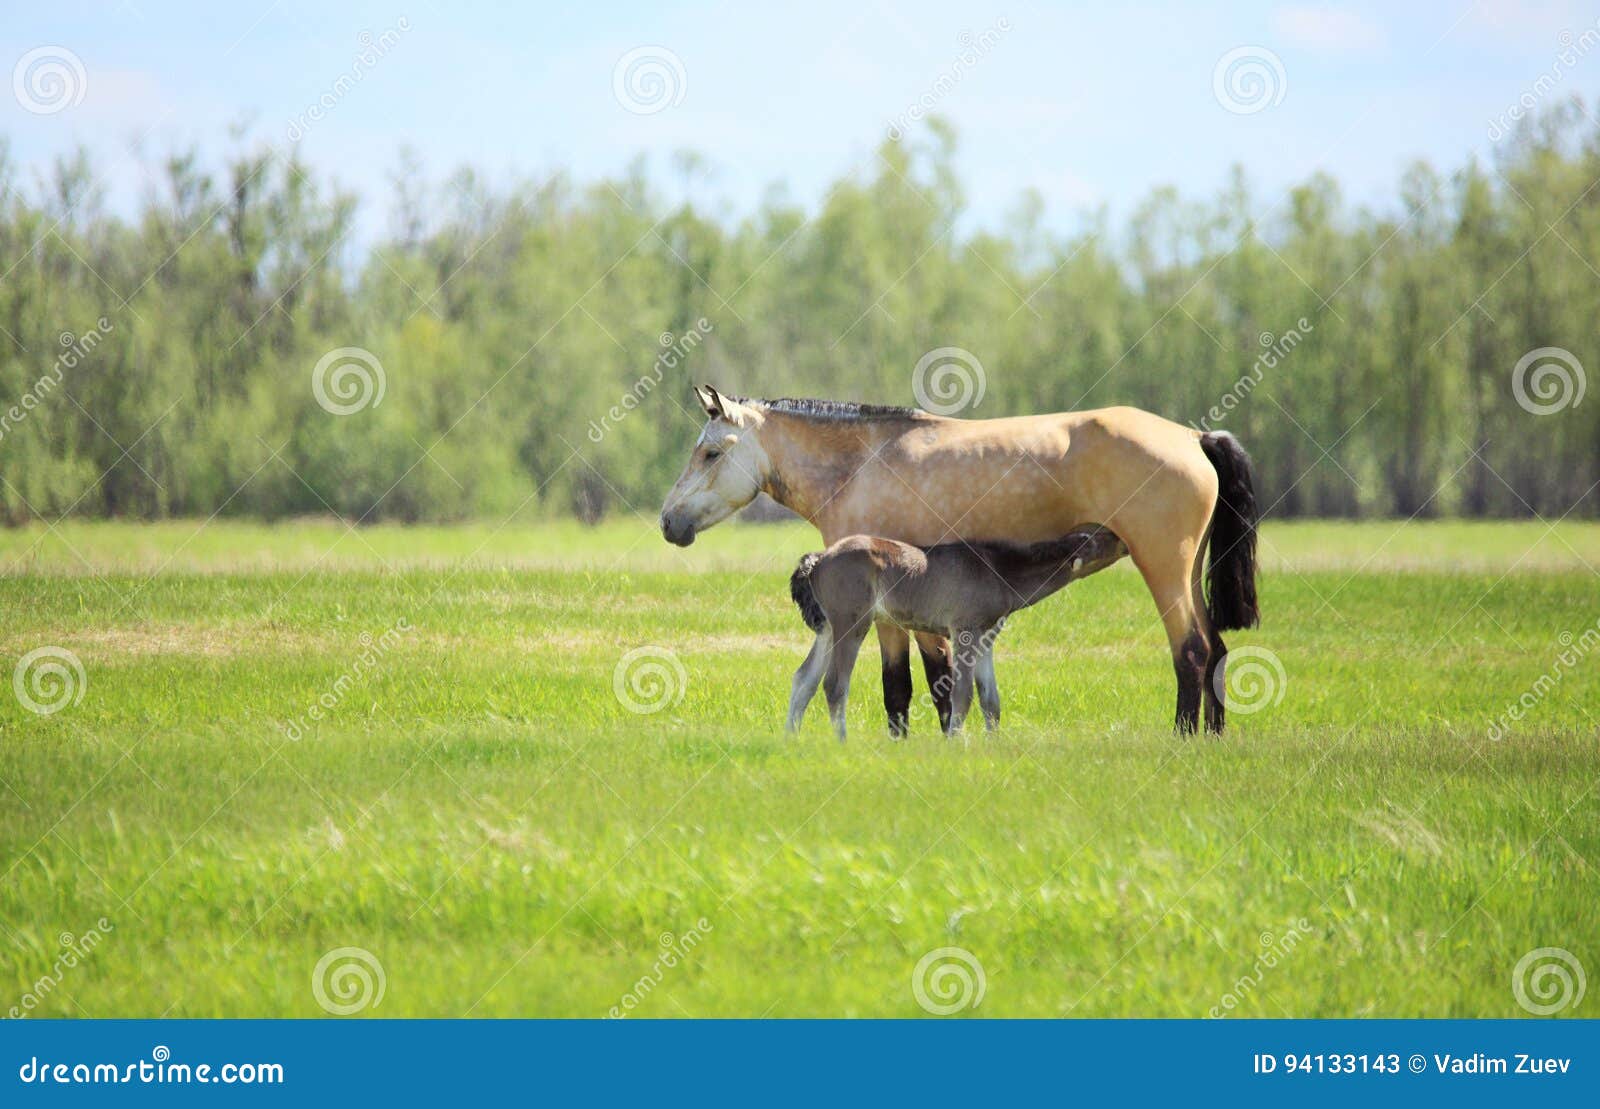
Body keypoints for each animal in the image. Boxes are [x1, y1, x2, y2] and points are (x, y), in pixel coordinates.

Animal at [786, 527, 1127, 739]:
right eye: (1101, 537)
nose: (1123, 538)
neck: (997, 571)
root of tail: (820, 558)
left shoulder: (985, 640)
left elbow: (991, 700)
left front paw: (993, 745)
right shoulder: (965, 633)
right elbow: (962, 695)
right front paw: (956, 742)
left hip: (828, 629)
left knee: (804, 678)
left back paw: (791, 739)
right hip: (852, 623)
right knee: (834, 684)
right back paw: (841, 742)